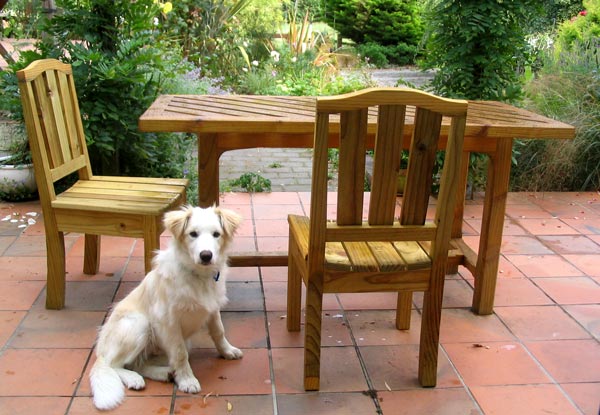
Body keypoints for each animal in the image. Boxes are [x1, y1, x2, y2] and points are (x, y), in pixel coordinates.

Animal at [88, 206, 241, 412]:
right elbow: (180, 354)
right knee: (114, 364)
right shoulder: (170, 322)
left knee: (137, 363)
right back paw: (135, 379)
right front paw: (187, 381)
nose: (206, 255)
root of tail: (101, 350)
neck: (198, 276)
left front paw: (227, 351)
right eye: (193, 234)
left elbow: (219, 332)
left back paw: (163, 373)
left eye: (216, 234)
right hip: (139, 324)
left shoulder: (212, 309)